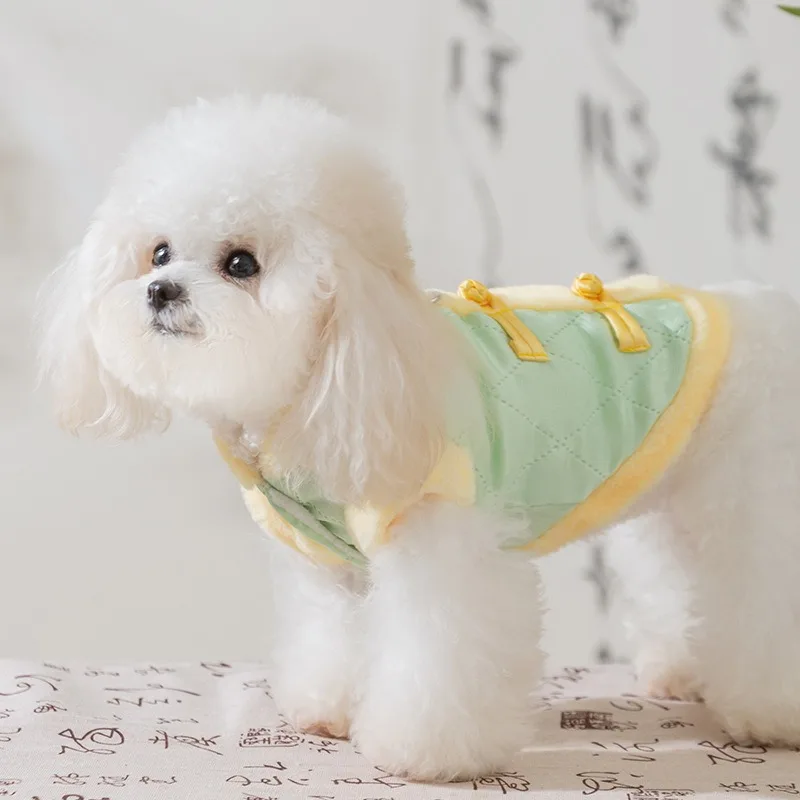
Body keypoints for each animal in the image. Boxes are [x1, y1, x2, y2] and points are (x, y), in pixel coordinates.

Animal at [40, 92, 800, 776]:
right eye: (158, 251)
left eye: (241, 264)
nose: (160, 291)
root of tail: (765, 309)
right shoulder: (330, 564)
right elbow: (333, 637)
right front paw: (328, 709)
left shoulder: (445, 545)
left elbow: (437, 656)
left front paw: (424, 752)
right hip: (673, 493)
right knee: (681, 578)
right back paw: (682, 673)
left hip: (756, 489)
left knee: (758, 587)